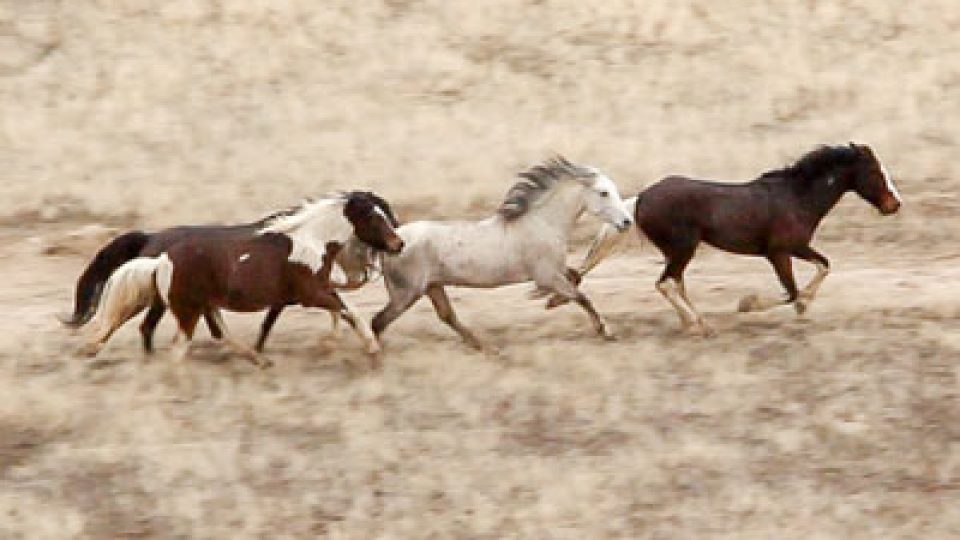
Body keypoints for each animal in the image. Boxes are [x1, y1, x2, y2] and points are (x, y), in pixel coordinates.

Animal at [77, 192, 404, 366]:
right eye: (373, 216)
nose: (398, 244)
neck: (311, 242)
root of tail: (159, 254)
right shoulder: (311, 294)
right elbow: (347, 310)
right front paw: (365, 346)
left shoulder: (305, 294)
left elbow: (338, 311)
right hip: (185, 308)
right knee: (171, 341)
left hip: (199, 304)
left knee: (210, 332)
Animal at [370, 155, 634, 350]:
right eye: (603, 192)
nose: (627, 222)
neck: (542, 223)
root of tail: (394, 240)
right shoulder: (547, 275)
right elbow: (581, 296)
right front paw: (606, 332)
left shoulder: (554, 271)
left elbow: (576, 279)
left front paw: (551, 301)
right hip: (406, 294)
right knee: (377, 322)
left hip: (432, 287)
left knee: (447, 316)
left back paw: (485, 348)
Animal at [547, 143, 902, 335]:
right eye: (875, 173)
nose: (894, 204)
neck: (797, 198)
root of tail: (641, 198)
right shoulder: (780, 251)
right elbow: (791, 290)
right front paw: (750, 304)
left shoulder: (794, 248)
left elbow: (823, 266)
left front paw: (804, 304)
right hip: (683, 248)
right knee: (666, 283)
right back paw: (697, 325)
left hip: (678, 251)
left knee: (674, 283)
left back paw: (697, 322)